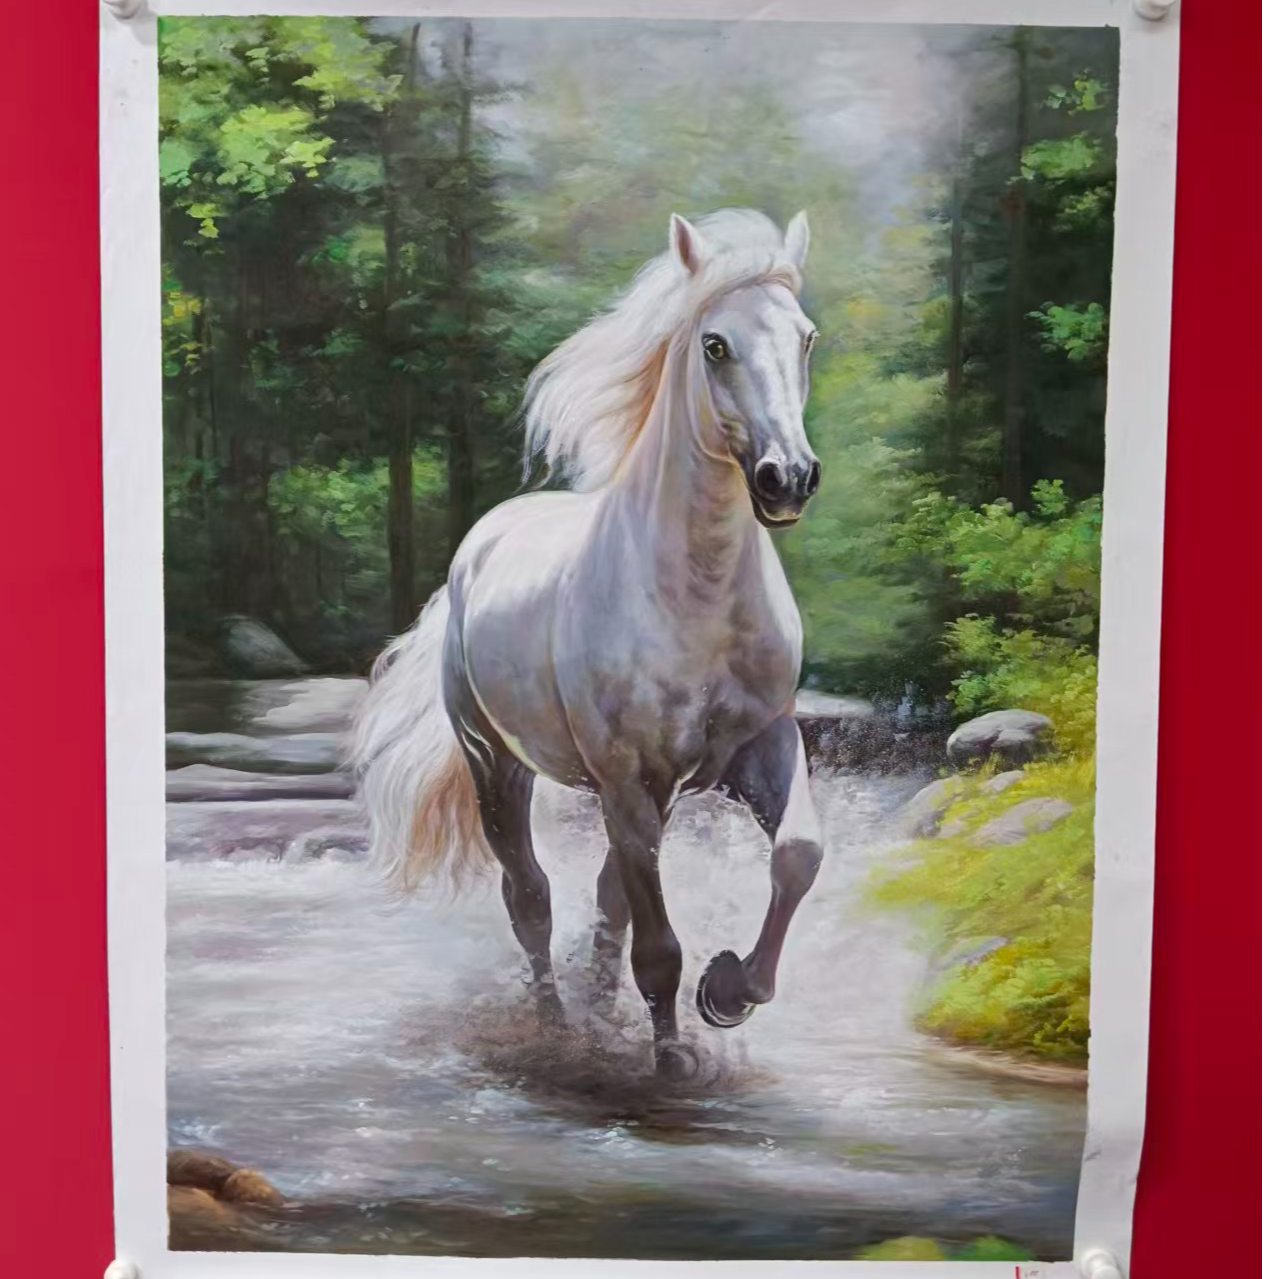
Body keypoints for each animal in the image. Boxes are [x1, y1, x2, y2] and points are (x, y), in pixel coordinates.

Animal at [353, 209, 825, 1080]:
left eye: (805, 337)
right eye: (714, 344)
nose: (788, 478)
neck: (694, 600)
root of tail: (480, 543)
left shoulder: (758, 748)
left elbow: (797, 855)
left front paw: (727, 991)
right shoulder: (627, 778)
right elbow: (657, 945)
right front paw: (671, 1055)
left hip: (644, 791)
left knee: (607, 898)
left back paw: (602, 1009)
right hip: (497, 764)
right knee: (530, 898)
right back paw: (555, 1025)